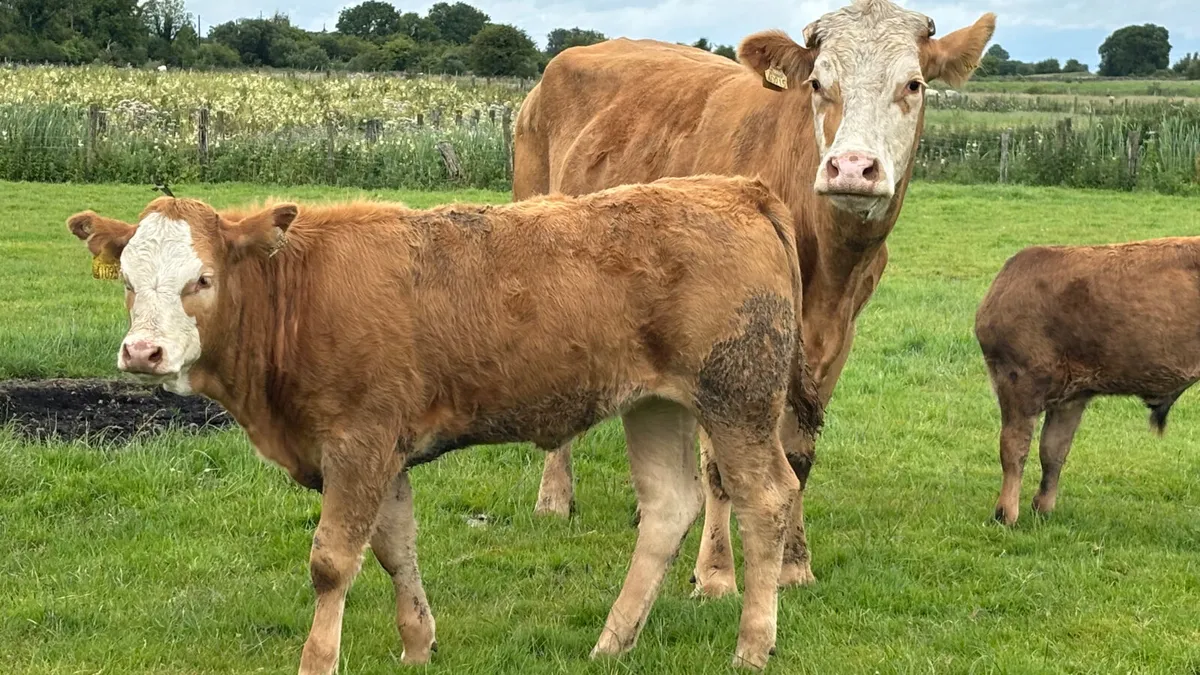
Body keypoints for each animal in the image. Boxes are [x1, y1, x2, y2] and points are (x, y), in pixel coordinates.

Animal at [66, 174, 825, 672]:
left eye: (201, 279)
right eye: (128, 280)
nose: (142, 352)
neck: (298, 295)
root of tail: (733, 187)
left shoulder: (359, 444)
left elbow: (332, 561)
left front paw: (319, 659)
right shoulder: (386, 451)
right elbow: (394, 548)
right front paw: (416, 643)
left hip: (737, 398)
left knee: (766, 499)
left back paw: (753, 645)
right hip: (656, 404)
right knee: (669, 506)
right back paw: (613, 640)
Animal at [512, 0, 996, 596]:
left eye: (914, 84)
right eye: (818, 83)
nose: (852, 168)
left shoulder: (836, 336)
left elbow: (799, 456)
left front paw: (794, 564)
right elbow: (722, 469)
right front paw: (715, 574)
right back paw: (554, 497)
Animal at [976, 239, 1200, 526]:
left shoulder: (1017, 382)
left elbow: (1014, 449)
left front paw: (1004, 514)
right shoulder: (1071, 397)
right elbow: (1053, 450)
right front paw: (1042, 508)